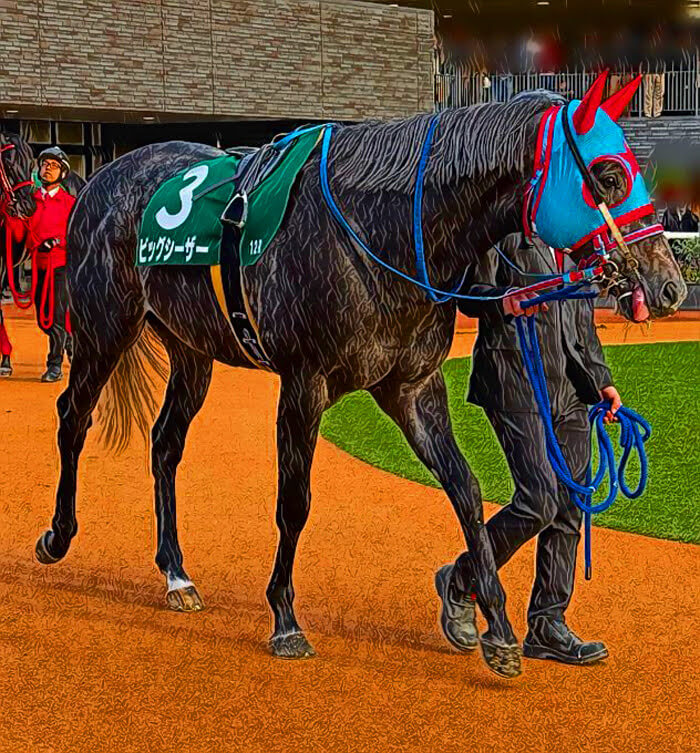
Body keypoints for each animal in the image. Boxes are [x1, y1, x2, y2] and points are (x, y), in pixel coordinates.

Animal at [29, 85, 685, 679]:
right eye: (608, 176)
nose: (670, 285)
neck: (381, 230)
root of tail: (105, 175)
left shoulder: (413, 387)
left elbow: (468, 491)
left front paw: (494, 628)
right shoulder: (304, 384)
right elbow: (294, 502)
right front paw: (285, 620)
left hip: (192, 348)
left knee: (165, 443)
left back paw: (175, 573)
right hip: (103, 327)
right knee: (72, 417)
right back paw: (58, 536)